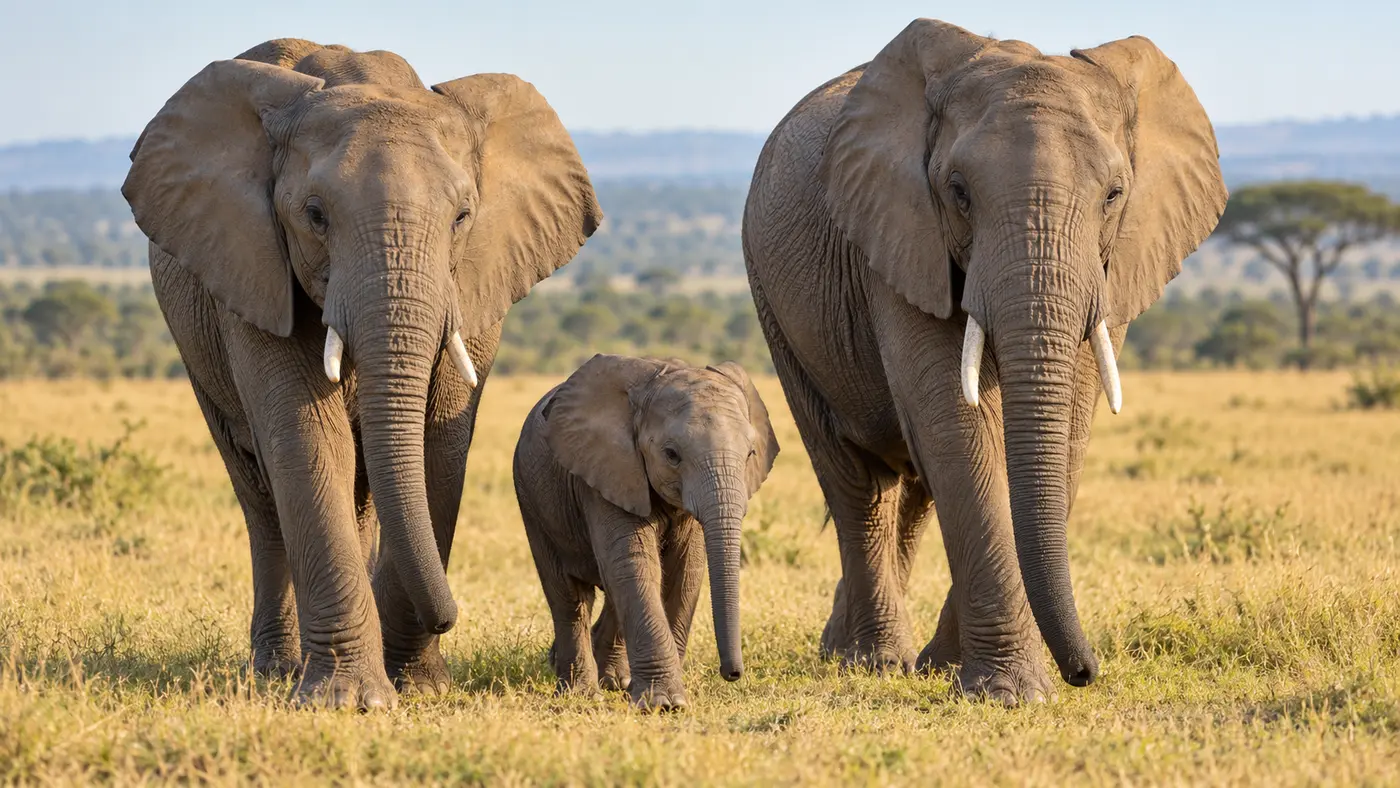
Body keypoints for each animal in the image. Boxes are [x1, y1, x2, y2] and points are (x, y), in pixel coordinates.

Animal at [121, 39, 602, 709]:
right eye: (315, 215)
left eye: (462, 216)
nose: (451, 615)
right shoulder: (253, 267)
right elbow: (308, 440)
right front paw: (349, 701)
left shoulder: (477, 278)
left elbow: (438, 444)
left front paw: (418, 687)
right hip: (195, 339)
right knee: (258, 492)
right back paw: (276, 670)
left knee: (364, 493)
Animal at [512, 355, 779, 710]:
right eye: (671, 454)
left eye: (750, 454)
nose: (732, 674)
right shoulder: (607, 470)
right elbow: (635, 564)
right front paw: (665, 705)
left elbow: (684, 572)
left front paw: (661, 698)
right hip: (532, 498)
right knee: (569, 597)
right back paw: (580, 692)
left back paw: (614, 681)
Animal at [742, 19, 1226, 703]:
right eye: (958, 193)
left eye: (1114, 194)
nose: (1085, 672)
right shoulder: (900, 235)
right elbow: (956, 424)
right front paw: (1010, 693)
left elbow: (1067, 430)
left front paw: (951, 669)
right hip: (775, 302)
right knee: (856, 481)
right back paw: (872, 661)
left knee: (912, 489)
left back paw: (874, 654)